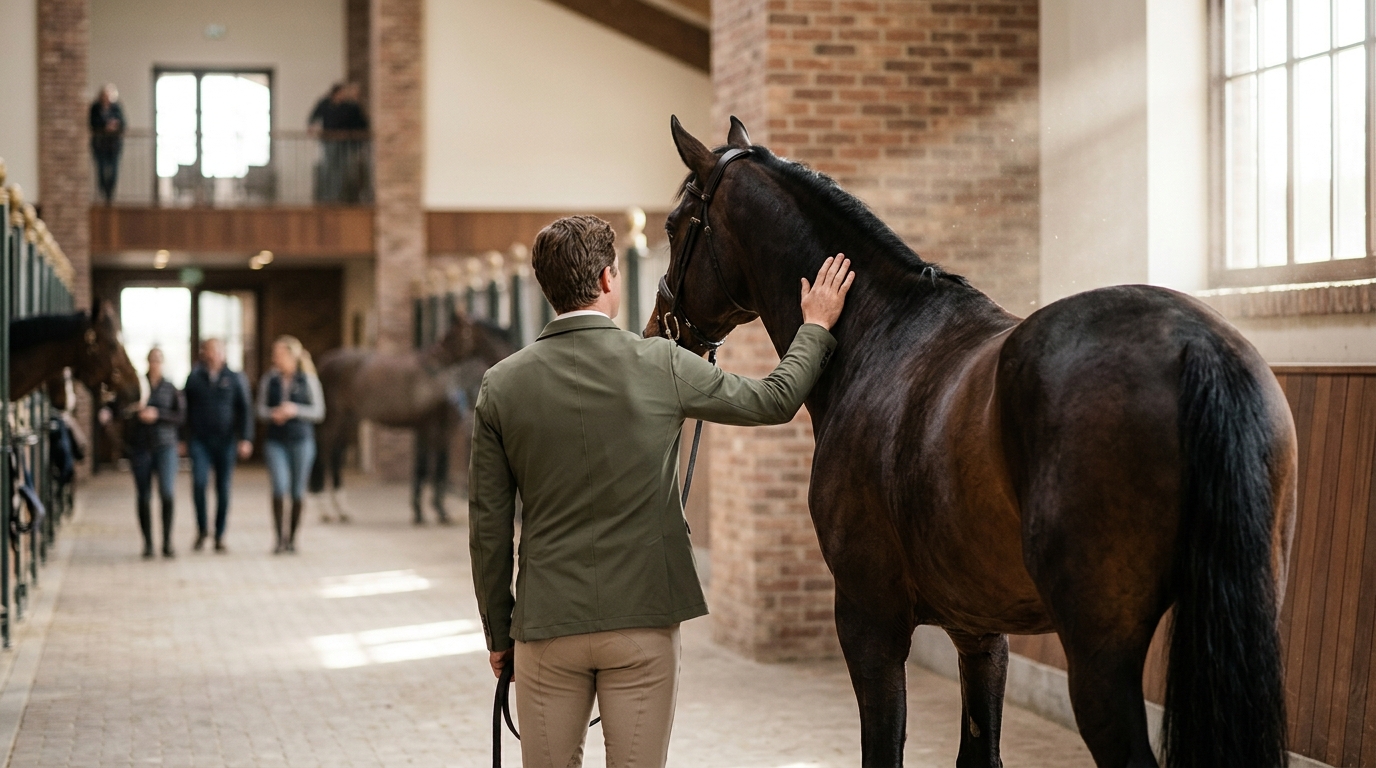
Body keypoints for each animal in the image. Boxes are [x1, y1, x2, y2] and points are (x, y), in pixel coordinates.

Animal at [310, 311, 514, 524]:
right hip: (334, 420)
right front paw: (430, 512)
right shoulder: (433, 427)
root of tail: (323, 365)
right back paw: (324, 508)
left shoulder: (435, 428)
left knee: (335, 456)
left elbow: (432, 466)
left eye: (451, 336)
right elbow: (430, 466)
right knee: (323, 453)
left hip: (347, 421)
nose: (433, 359)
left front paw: (429, 511)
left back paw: (341, 509)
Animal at [648, 117, 1295, 768]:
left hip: (1100, 657)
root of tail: (1193, 342)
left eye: (674, 226)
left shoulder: (869, 620)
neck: (879, 335)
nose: (657, 327)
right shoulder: (979, 630)